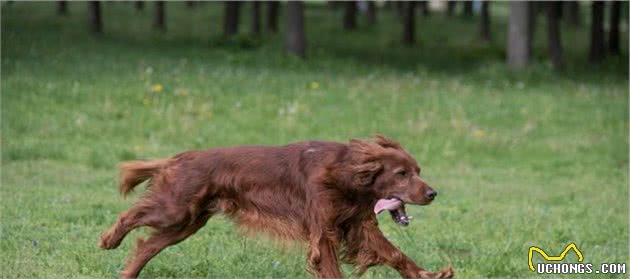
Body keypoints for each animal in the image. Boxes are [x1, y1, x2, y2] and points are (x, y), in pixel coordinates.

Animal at [99, 135, 454, 278]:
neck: (346, 175)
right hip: (175, 209)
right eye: (402, 173)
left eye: (418, 170)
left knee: (146, 246)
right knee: (130, 215)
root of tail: (177, 158)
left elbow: (396, 254)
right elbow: (331, 267)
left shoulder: (359, 227)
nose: (433, 193)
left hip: (186, 222)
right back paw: (109, 239)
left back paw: (127, 273)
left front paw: (430, 274)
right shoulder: (322, 232)